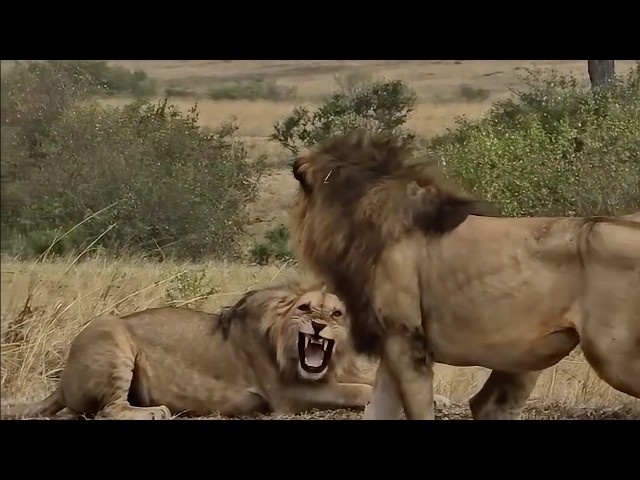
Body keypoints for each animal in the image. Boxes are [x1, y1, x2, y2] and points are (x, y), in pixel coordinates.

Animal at [1, 273, 379, 420]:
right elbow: (358, 391)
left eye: (337, 314)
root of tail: (63, 381)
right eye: (304, 309)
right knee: (108, 409)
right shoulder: (288, 396)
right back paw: (156, 411)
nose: (318, 325)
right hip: (110, 333)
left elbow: (366, 382)